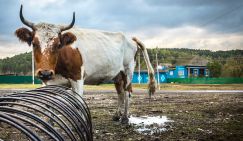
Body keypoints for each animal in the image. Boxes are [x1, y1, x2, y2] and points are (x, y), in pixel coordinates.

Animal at [15, 4, 156, 123]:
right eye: (34, 43)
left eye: (58, 44)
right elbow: (49, 103)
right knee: (120, 92)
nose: (45, 73)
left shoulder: (77, 77)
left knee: (127, 91)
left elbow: (78, 102)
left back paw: (125, 118)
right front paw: (50, 125)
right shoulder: (48, 82)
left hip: (128, 70)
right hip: (117, 75)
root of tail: (129, 38)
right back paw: (117, 115)